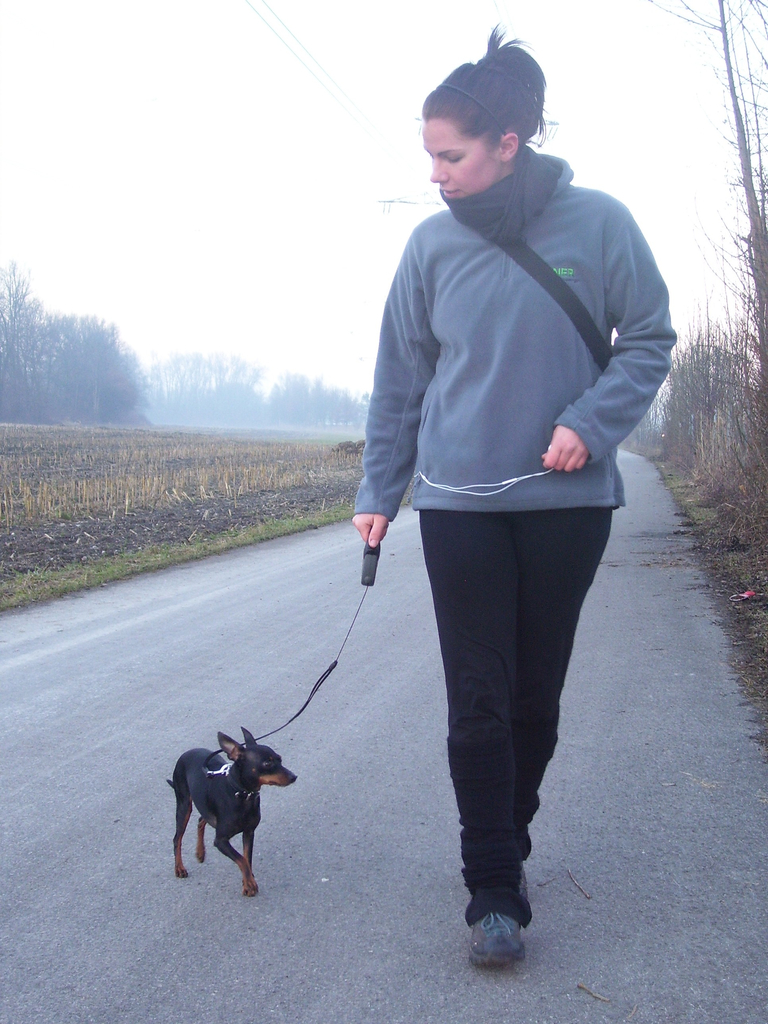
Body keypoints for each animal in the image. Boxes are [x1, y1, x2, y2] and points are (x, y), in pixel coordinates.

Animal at [168, 727, 296, 896]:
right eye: (267, 763)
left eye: (279, 759)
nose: (294, 777)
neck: (243, 794)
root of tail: (188, 752)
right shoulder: (221, 841)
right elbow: (241, 859)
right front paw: (250, 884)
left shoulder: (249, 832)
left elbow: (247, 859)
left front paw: (247, 881)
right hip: (184, 805)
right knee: (177, 838)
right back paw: (179, 868)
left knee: (201, 820)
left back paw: (200, 852)